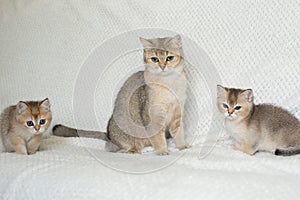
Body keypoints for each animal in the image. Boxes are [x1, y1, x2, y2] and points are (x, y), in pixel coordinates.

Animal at [53, 35, 190, 155]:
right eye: (154, 59)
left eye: (169, 58)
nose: (162, 67)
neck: (169, 84)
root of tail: (109, 136)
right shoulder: (153, 115)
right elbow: (157, 137)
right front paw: (162, 151)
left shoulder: (177, 112)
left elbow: (179, 133)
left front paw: (182, 146)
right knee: (123, 149)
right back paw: (142, 149)